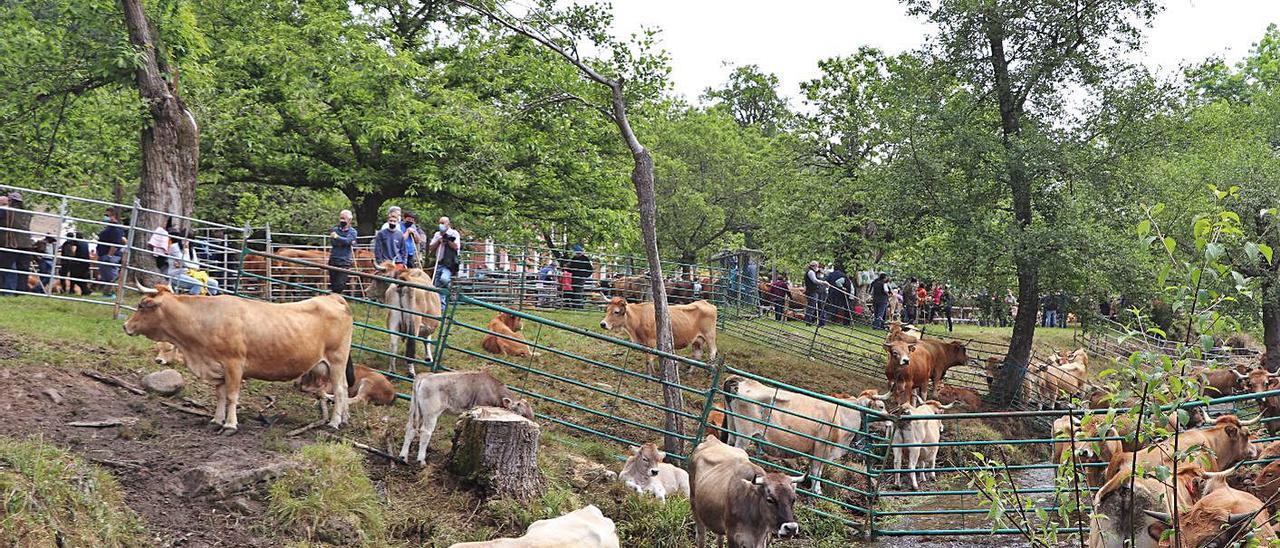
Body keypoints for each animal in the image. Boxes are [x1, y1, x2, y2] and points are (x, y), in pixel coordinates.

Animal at [122, 284, 353, 435]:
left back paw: (334, 423)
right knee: (343, 387)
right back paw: (344, 419)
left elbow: (232, 396)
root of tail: (332, 298)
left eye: (142, 305)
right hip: (332, 365)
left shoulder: (233, 364)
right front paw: (216, 420)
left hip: (336, 359)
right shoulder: (217, 367)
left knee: (339, 390)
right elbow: (220, 396)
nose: (125, 326)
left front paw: (230, 425)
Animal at [396, 371, 532, 463]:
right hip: (431, 413)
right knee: (425, 432)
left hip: (414, 409)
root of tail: (425, 376)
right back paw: (421, 460)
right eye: (517, 411)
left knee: (410, 428)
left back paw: (403, 457)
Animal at [721, 376, 890, 496]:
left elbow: (814, 470)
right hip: (743, 435)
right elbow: (817, 471)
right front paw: (817, 491)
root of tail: (743, 380)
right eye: (881, 406)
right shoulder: (822, 447)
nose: (890, 421)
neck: (842, 415)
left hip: (732, 428)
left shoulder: (815, 451)